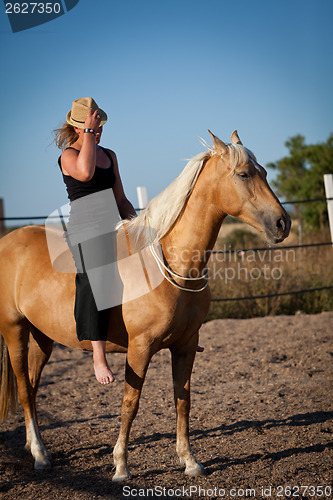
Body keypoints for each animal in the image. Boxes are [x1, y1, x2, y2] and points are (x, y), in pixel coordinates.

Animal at [0, 132, 288, 480]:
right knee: (24, 390)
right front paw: (121, 465)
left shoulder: (186, 346)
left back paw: (35, 447)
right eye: (244, 174)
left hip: (42, 338)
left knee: (31, 387)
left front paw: (189, 461)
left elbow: (183, 400)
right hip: (14, 332)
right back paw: (41, 456)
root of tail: (7, 241)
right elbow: (130, 403)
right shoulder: (140, 348)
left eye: (265, 173)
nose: (282, 223)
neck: (172, 263)